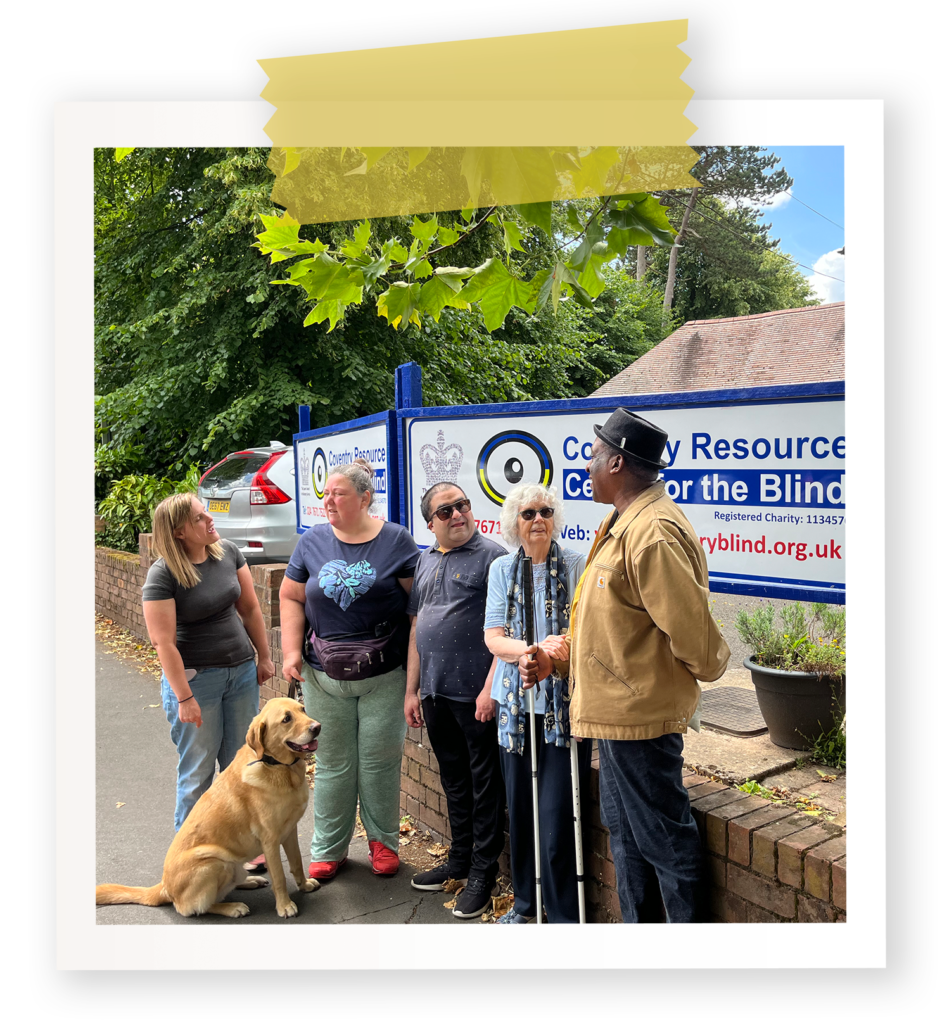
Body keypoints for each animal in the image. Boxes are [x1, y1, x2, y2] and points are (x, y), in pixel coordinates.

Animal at [97, 696, 321, 921]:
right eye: (286, 719)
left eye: (303, 709)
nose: (317, 727)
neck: (276, 765)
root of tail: (164, 887)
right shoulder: (271, 840)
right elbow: (279, 877)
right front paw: (284, 906)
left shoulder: (290, 831)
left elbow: (296, 863)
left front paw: (304, 886)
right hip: (213, 863)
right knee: (194, 908)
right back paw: (233, 907)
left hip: (231, 866)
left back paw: (250, 881)